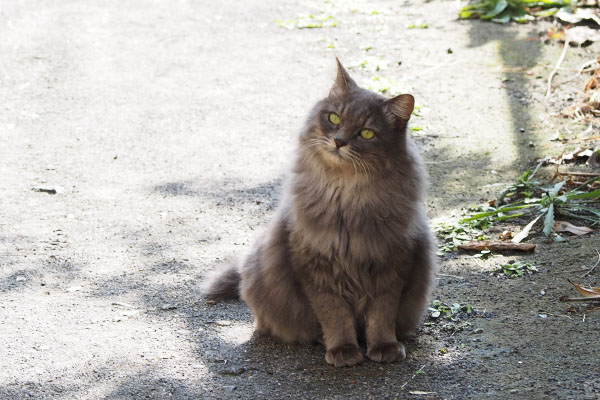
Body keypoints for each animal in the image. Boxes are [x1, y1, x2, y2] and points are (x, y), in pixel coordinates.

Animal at [204, 57, 434, 368]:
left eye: (367, 133)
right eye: (334, 118)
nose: (339, 141)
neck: (347, 197)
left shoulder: (391, 265)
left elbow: (381, 316)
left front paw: (384, 347)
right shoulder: (316, 269)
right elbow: (335, 316)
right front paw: (343, 350)